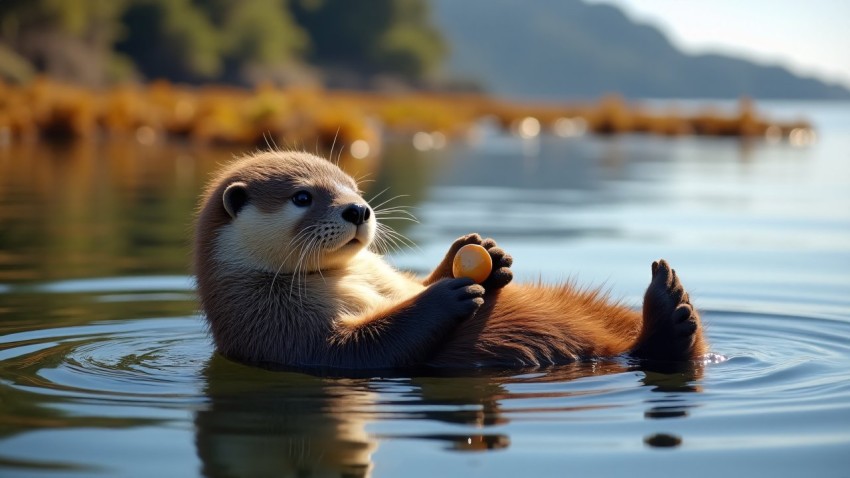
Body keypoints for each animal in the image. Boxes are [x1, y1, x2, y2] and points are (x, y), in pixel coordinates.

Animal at [195, 151, 704, 368]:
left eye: (354, 188)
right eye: (303, 197)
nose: (358, 209)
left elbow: (411, 288)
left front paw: (481, 254)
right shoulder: (278, 329)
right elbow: (364, 349)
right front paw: (447, 297)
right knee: (649, 350)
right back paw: (669, 311)